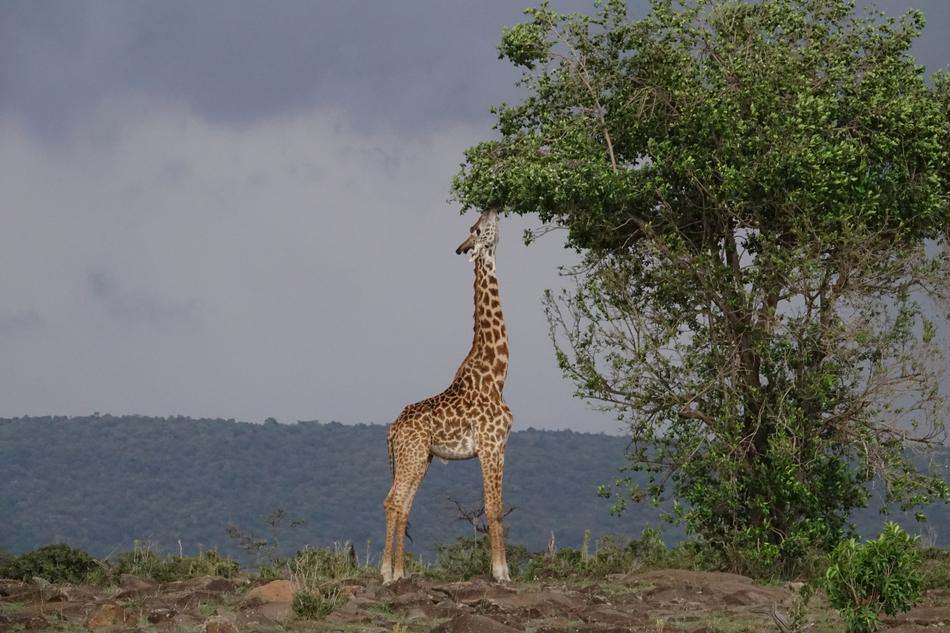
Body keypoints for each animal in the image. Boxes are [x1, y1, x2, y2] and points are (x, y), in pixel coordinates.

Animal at [380, 208, 513, 584]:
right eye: (477, 229)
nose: (492, 207)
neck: (497, 375)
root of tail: (392, 429)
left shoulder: (499, 446)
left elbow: (497, 506)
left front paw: (502, 570)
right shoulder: (490, 444)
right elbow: (493, 506)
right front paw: (501, 573)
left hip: (418, 458)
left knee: (402, 504)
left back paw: (400, 572)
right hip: (412, 457)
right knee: (394, 501)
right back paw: (387, 573)